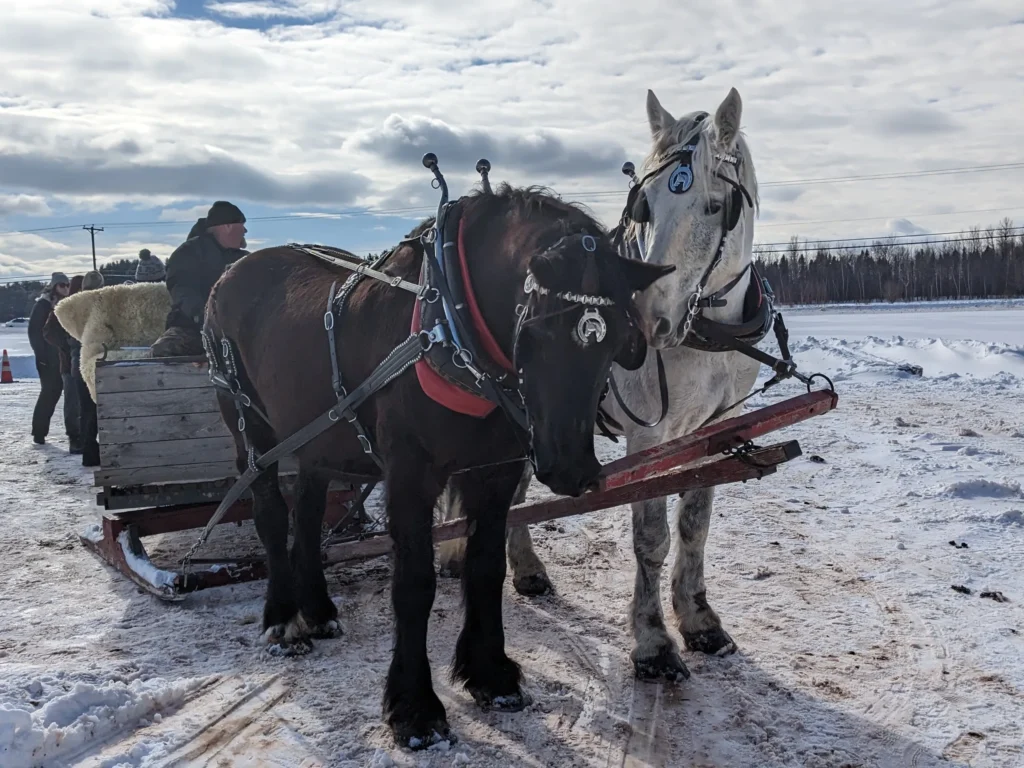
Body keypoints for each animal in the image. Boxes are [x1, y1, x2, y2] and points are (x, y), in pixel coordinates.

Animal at [203, 180, 673, 749]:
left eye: (618, 341)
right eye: (535, 332)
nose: (572, 469)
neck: (451, 325)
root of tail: (230, 272)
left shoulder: (497, 470)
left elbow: (486, 568)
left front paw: (491, 676)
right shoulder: (410, 473)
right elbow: (414, 584)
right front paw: (415, 708)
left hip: (317, 434)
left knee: (309, 515)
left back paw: (316, 610)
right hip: (249, 426)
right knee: (271, 514)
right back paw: (283, 621)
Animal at [439, 87, 763, 682]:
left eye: (714, 205)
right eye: (645, 205)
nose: (649, 318)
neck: (705, 334)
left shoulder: (719, 424)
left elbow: (695, 524)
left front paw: (699, 620)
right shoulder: (648, 437)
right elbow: (651, 536)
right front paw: (654, 642)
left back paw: (521, 568)